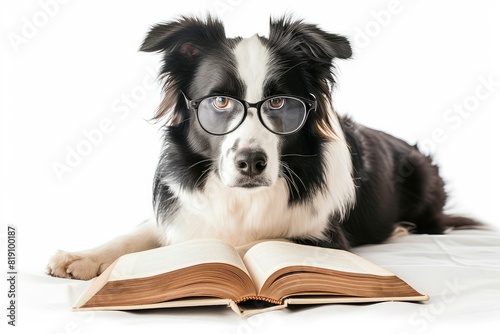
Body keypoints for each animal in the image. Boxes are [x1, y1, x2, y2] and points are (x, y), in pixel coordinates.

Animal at [47, 17, 480, 280]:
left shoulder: (324, 236)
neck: (243, 200)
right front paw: (83, 256)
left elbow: (256, 242)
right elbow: (138, 232)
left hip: (423, 175)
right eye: (220, 101)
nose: (251, 162)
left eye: (279, 104)